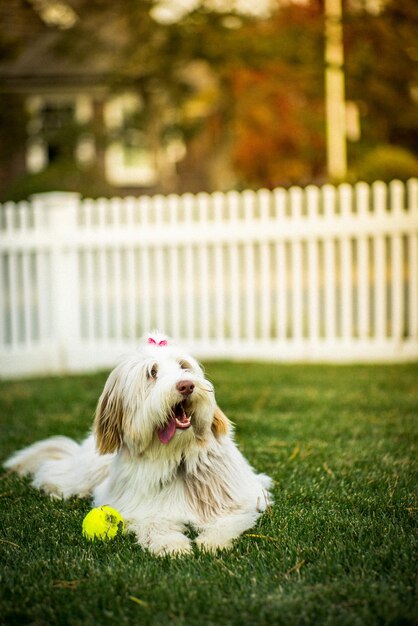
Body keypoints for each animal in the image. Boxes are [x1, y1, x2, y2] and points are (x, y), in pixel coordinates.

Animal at [4, 334, 272, 552]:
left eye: (183, 366)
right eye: (152, 372)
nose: (186, 385)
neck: (177, 454)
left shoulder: (241, 497)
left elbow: (228, 520)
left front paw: (213, 541)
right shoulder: (140, 507)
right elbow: (154, 523)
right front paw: (171, 545)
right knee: (56, 471)